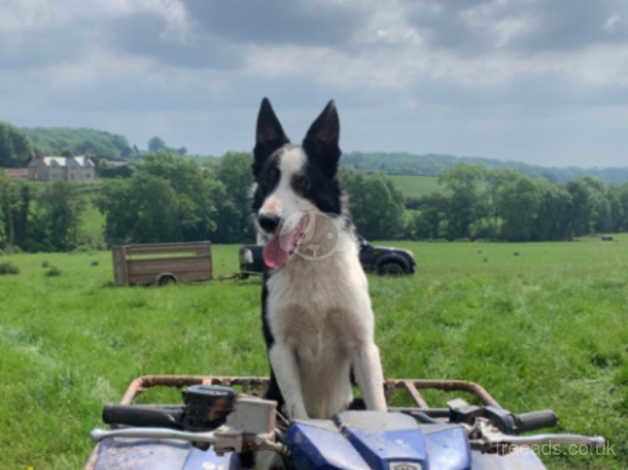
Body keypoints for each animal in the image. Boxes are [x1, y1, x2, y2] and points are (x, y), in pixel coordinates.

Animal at [250, 98, 388, 418]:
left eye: (302, 183)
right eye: (266, 181)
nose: (267, 221)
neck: (309, 264)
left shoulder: (363, 345)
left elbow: (378, 405)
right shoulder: (281, 347)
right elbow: (298, 411)